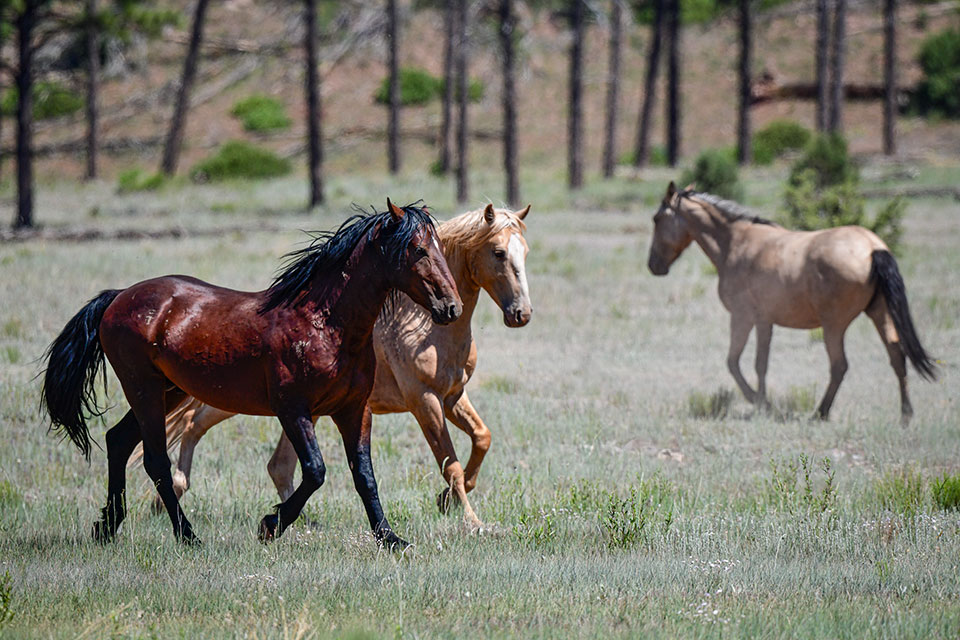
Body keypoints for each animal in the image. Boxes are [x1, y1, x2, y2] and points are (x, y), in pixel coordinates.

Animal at [43, 201, 464, 552]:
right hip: (143, 388)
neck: (325, 323)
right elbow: (315, 471)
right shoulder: (293, 410)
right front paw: (270, 524)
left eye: (438, 247)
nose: (451, 307)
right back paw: (188, 536)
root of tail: (118, 297)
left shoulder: (354, 411)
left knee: (118, 441)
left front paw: (391, 539)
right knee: (155, 461)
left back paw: (107, 527)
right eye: (418, 250)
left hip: (169, 391)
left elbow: (364, 476)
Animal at [136, 204, 532, 528]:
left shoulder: (452, 396)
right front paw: (471, 520)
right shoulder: (424, 400)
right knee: (194, 422)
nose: (521, 314)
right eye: (498, 252)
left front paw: (447, 500)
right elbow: (449, 462)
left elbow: (482, 438)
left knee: (277, 465)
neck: (424, 328)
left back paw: (297, 521)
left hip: (295, 410)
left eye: (525, 251)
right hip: (238, 399)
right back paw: (172, 495)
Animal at [648, 182, 932, 424]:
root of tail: (873, 248)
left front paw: (760, 403)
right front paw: (763, 402)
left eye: (657, 219)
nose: (653, 266)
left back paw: (821, 413)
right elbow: (760, 363)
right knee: (897, 356)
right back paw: (905, 416)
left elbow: (736, 362)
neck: (735, 243)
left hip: (834, 326)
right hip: (879, 313)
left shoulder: (743, 317)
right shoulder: (764, 321)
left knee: (839, 365)